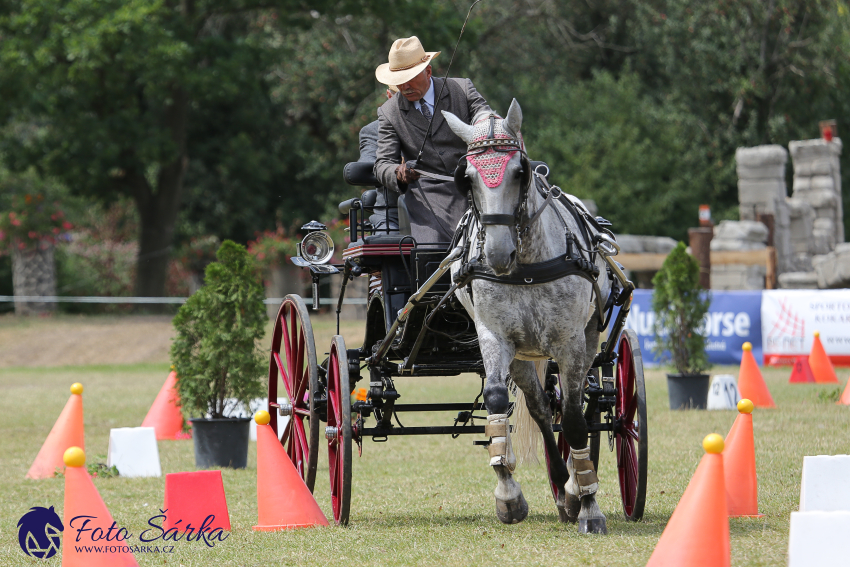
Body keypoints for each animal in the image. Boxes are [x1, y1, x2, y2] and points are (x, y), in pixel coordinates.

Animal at [440, 101, 612, 532]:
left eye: (520, 171)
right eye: (467, 178)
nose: (498, 254)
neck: (529, 265)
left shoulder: (570, 342)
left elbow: (575, 419)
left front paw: (588, 505)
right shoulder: (494, 336)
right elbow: (497, 402)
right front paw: (508, 496)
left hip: (586, 341)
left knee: (572, 406)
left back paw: (574, 489)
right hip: (522, 356)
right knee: (540, 409)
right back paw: (562, 487)